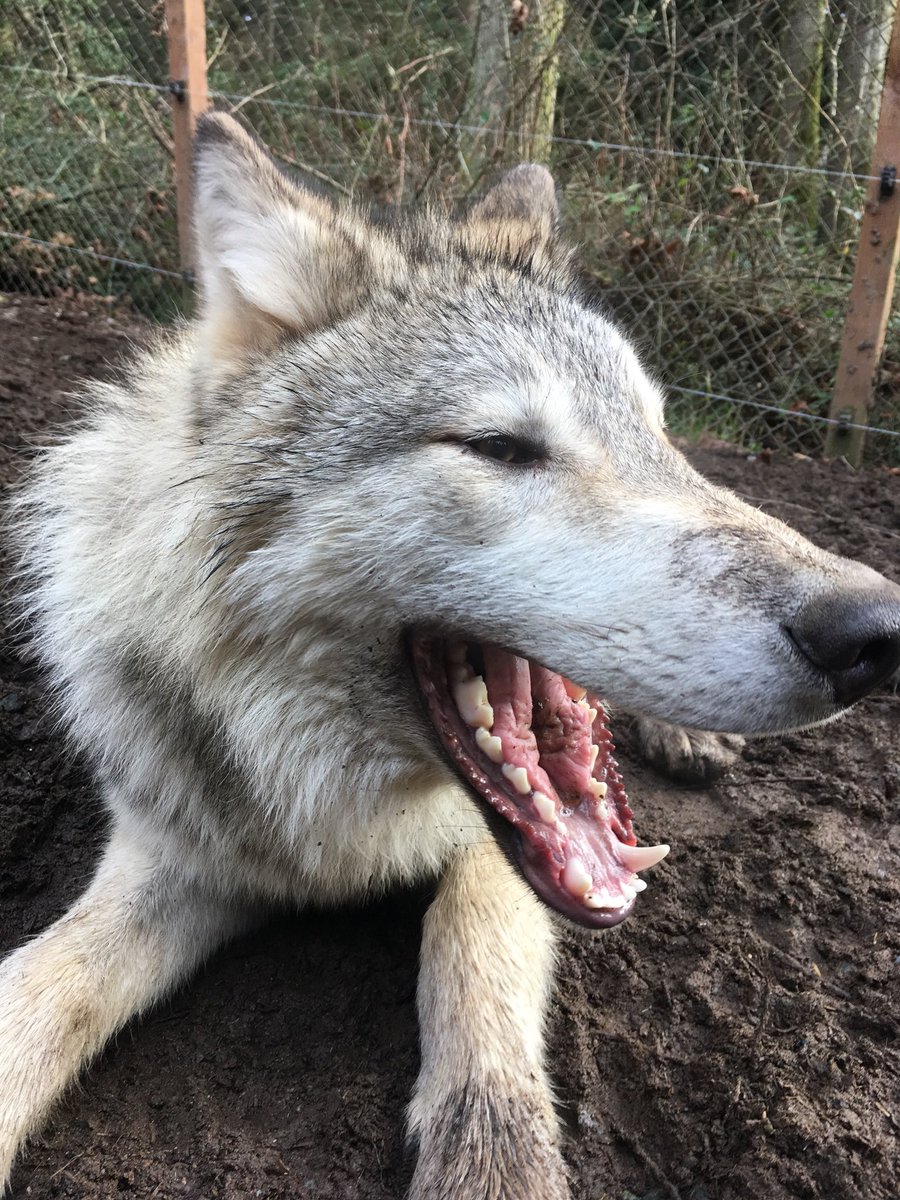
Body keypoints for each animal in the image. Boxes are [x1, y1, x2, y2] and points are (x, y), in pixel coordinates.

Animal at [2, 111, 899, 1199]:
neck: (333, 819)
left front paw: (494, 1159)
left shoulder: (486, 849)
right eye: (499, 447)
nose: (873, 629)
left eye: (657, 437)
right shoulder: (173, 850)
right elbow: (38, 990)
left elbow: (463, 947)